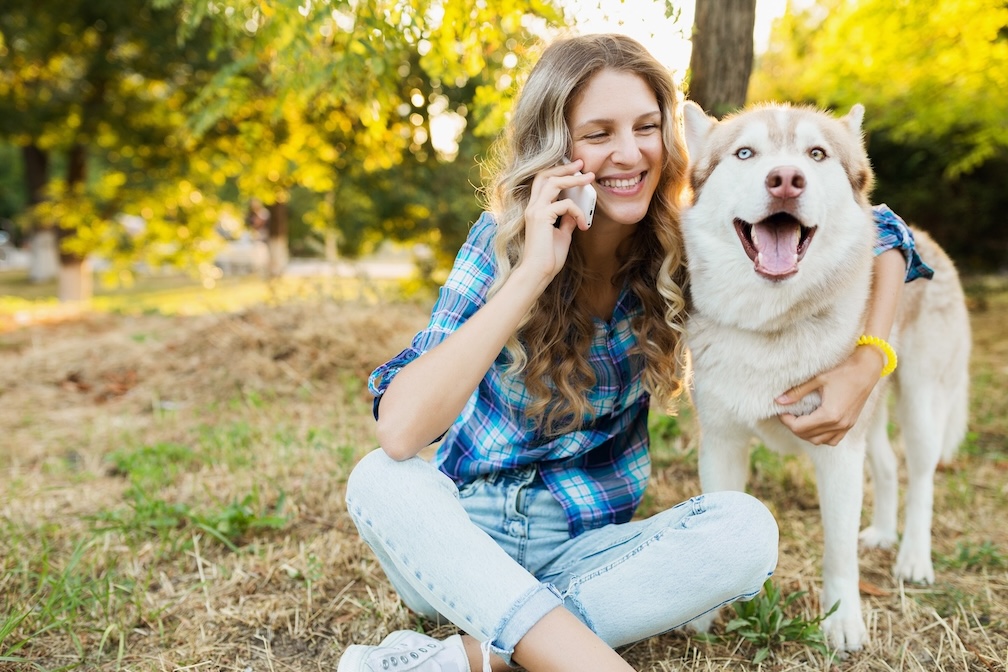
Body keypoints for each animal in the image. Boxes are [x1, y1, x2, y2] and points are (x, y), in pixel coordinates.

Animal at [681, 101, 971, 652]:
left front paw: (841, 621)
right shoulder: (722, 442)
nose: (785, 180)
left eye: (815, 154)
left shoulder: (838, 452)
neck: (770, 326)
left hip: (920, 407)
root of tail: (926, 237)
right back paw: (882, 533)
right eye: (745, 153)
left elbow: (838, 551)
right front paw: (703, 615)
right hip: (868, 416)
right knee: (888, 467)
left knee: (921, 479)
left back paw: (912, 558)